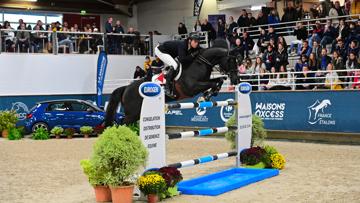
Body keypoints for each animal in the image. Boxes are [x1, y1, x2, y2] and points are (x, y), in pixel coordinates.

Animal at [105, 38, 239, 126]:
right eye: (231, 61)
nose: (236, 80)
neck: (200, 63)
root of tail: (126, 88)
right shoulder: (192, 87)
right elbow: (212, 83)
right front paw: (206, 96)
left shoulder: (204, 80)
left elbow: (219, 80)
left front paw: (210, 94)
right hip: (132, 114)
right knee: (121, 123)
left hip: (136, 113)